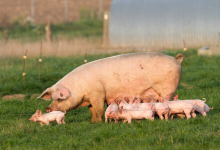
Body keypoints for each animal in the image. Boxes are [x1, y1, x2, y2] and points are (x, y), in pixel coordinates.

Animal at [37, 52, 184, 122]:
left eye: (59, 98)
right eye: (52, 98)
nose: (48, 108)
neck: (79, 89)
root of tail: (176, 59)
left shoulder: (97, 94)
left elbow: (99, 110)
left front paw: (98, 121)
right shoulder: (90, 99)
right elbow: (92, 111)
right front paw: (93, 122)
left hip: (167, 88)